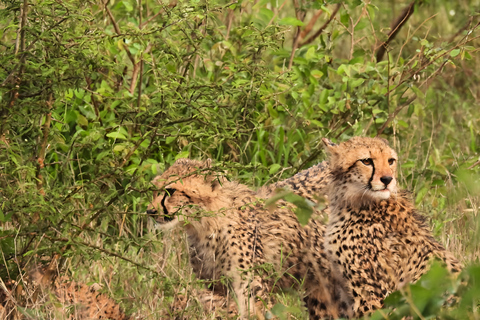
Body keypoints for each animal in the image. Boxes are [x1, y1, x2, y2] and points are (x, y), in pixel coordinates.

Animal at [148, 160, 344, 320]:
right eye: (154, 190)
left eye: (170, 191)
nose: (150, 211)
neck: (205, 226)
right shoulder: (217, 289)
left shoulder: (253, 290)